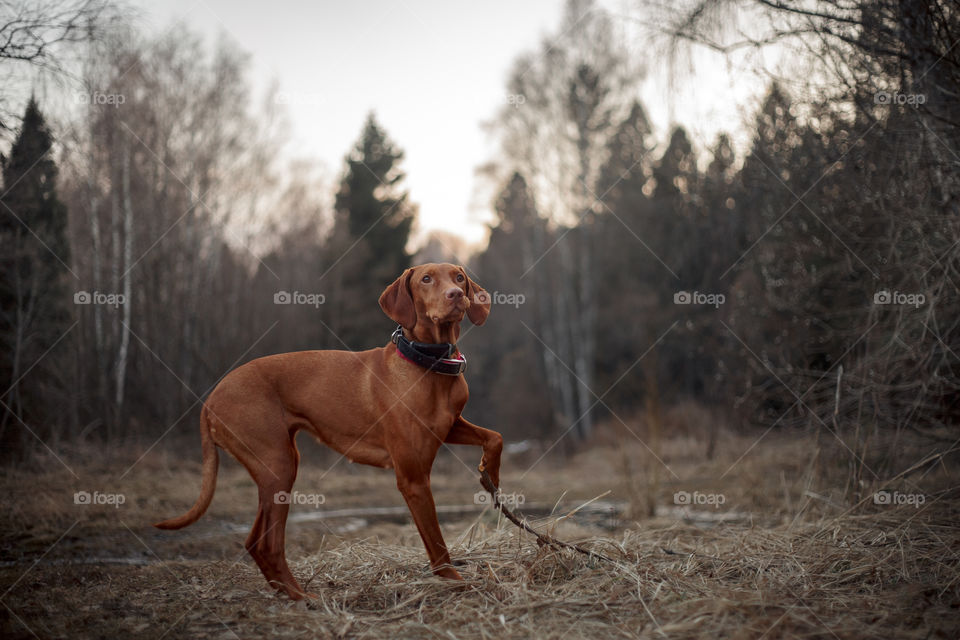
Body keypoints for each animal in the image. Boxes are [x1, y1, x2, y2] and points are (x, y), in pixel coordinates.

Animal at [156, 262, 502, 596]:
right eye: (427, 279)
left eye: (459, 277)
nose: (455, 294)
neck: (428, 366)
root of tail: (211, 398)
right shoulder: (413, 479)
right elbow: (436, 541)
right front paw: (454, 581)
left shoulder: (449, 426)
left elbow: (494, 437)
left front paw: (492, 475)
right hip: (279, 465)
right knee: (268, 544)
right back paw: (302, 598)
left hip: (276, 466)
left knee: (255, 541)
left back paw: (289, 594)